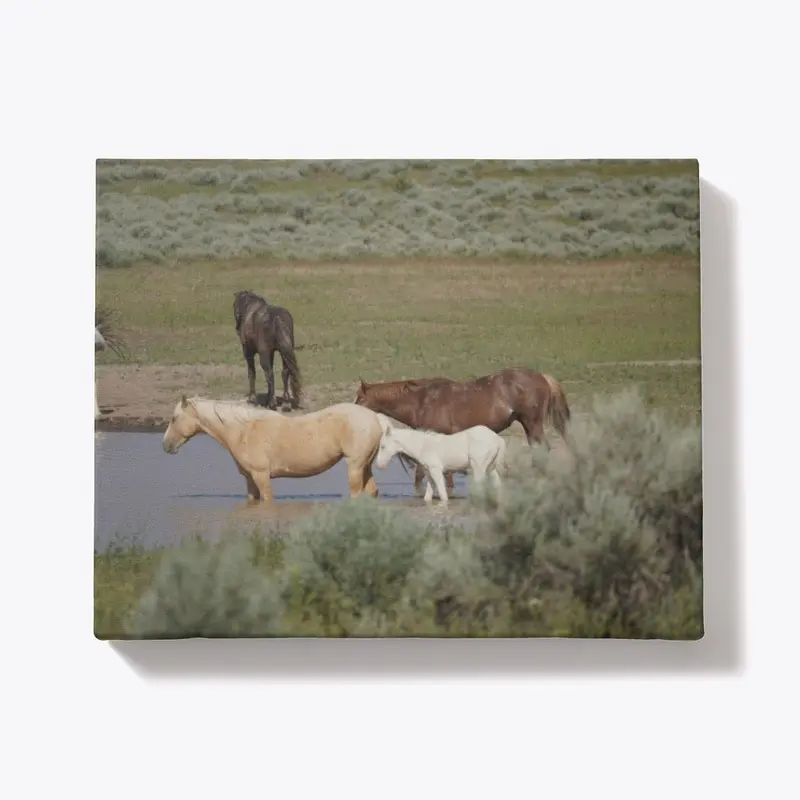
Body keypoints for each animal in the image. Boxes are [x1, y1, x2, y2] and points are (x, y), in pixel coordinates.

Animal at [162, 396, 382, 504]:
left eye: (174, 418)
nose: (166, 446)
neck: (243, 431)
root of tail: (375, 418)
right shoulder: (250, 479)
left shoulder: (261, 476)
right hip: (365, 466)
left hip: (355, 466)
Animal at [376, 416, 506, 510]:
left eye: (383, 447)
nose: (379, 465)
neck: (422, 446)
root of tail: (497, 439)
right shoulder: (429, 473)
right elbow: (427, 496)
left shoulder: (436, 470)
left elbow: (443, 495)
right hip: (491, 467)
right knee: (497, 486)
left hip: (478, 467)